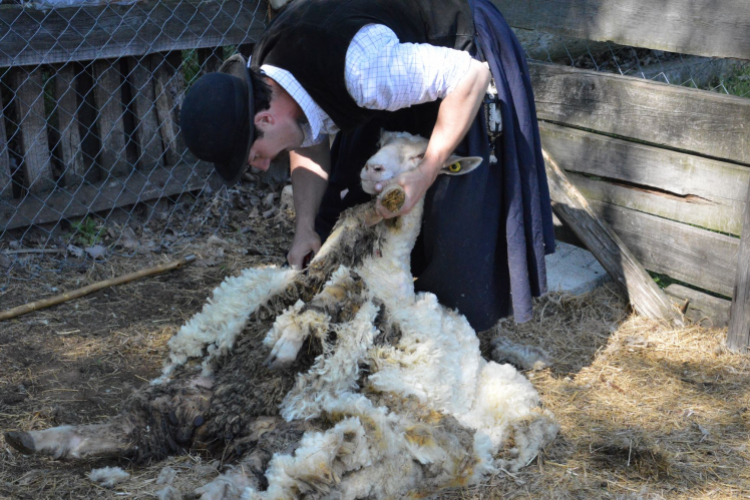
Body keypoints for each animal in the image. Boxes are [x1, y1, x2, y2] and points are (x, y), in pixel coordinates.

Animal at [1, 131, 560, 498]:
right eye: (383, 142)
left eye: (422, 154)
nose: (373, 170)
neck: (386, 271)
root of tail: (213, 425)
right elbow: (322, 277)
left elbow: (326, 302)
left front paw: (291, 336)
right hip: (187, 398)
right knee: (132, 430)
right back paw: (33, 438)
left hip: (282, 435)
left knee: (228, 477)